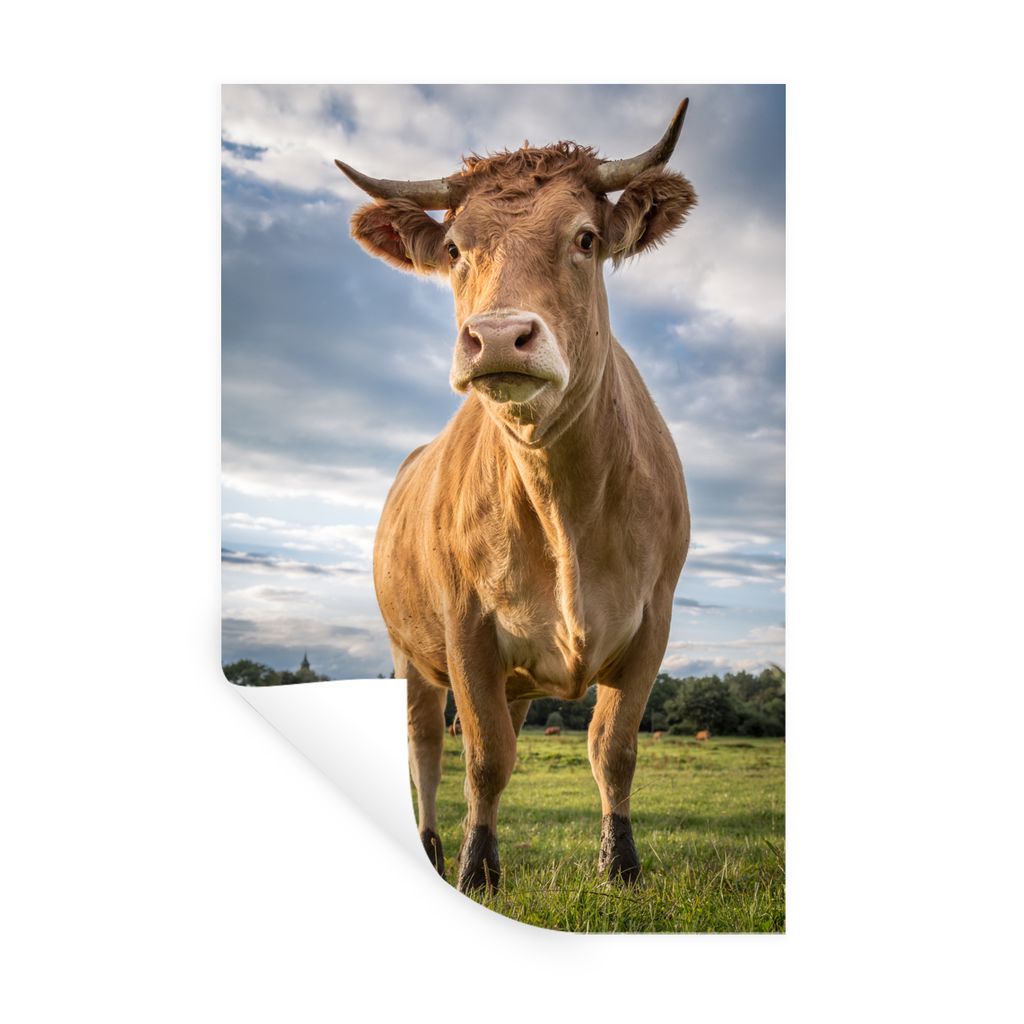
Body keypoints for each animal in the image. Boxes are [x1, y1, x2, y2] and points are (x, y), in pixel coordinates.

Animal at [336, 100, 695, 893]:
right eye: (453, 250)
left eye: (585, 238)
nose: (499, 337)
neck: (565, 506)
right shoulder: (465, 626)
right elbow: (483, 759)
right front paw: (478, 868)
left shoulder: (652, 622)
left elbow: (613, 748)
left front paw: (620, 864)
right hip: (410, 655)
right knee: (425, 748)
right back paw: (433, 846)